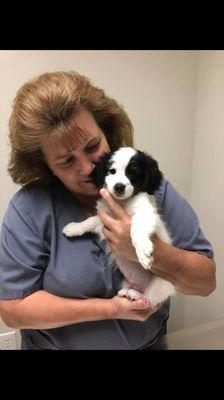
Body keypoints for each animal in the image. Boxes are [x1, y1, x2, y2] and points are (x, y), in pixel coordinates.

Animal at [62, 147, 176, 306]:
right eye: (112, 171)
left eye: (133, 172)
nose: (119, 186)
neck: (122, 203)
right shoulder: (105, 219)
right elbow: (90, 221)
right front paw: (73, 228)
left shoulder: (145, 213)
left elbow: (137, 230)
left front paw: (143, 252)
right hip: (126, 281)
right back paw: (128, 293)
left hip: (161, 284)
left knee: (149, 300)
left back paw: (137, 296)